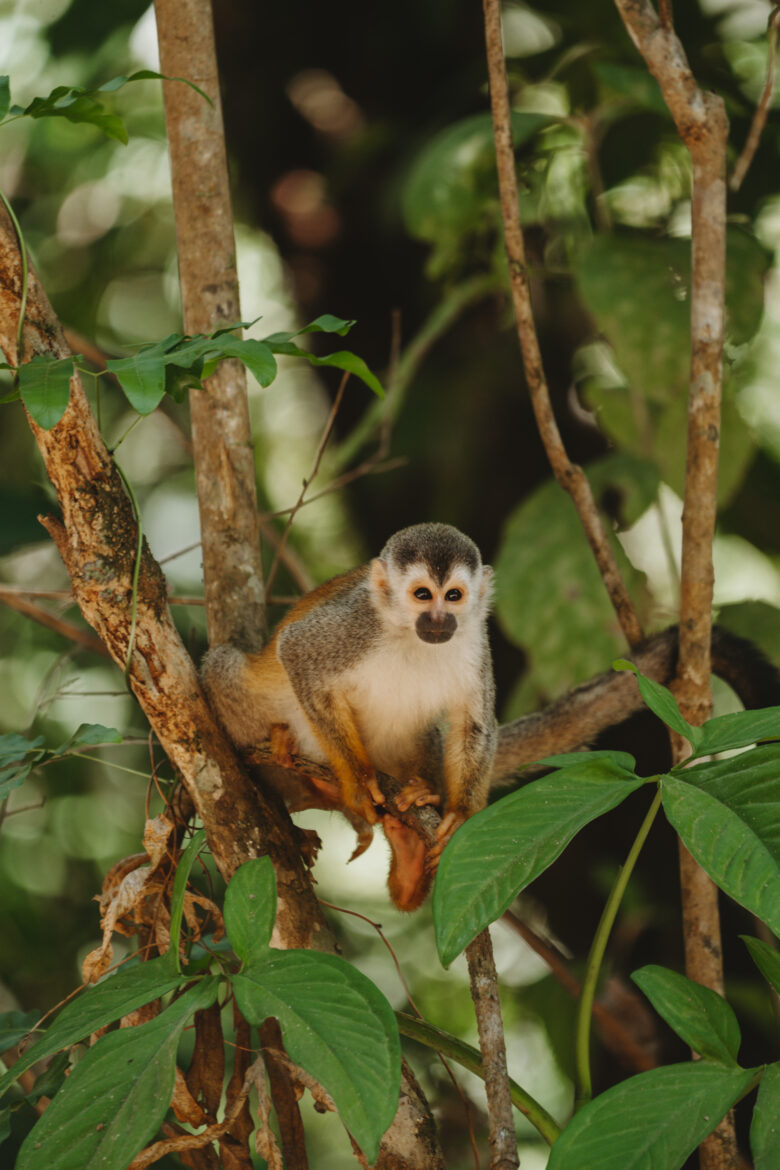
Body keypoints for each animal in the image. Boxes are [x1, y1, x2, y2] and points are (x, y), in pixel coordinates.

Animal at [199, 524, 493, 912]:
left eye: (454, 595)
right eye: (423, 595)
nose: (439, 620)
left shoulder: (475, 643)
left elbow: (472, 725)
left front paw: (459, 815)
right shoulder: (358, 622)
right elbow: (295, 649)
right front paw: (359, 781)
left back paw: (410, 846)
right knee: (223, 666)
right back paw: (303, 771)